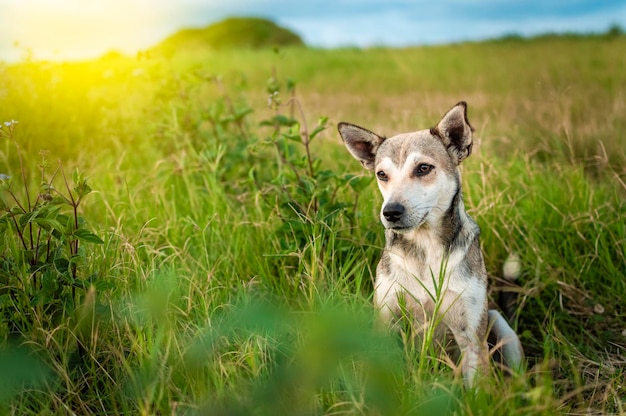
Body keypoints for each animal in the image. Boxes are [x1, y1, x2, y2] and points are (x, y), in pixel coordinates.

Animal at [336, 101, 520, 386]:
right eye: (381, 174)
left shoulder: (471, 339)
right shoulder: (385, 322)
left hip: (500, 324)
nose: (391, 212)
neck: (425, 249)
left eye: (423, 168)